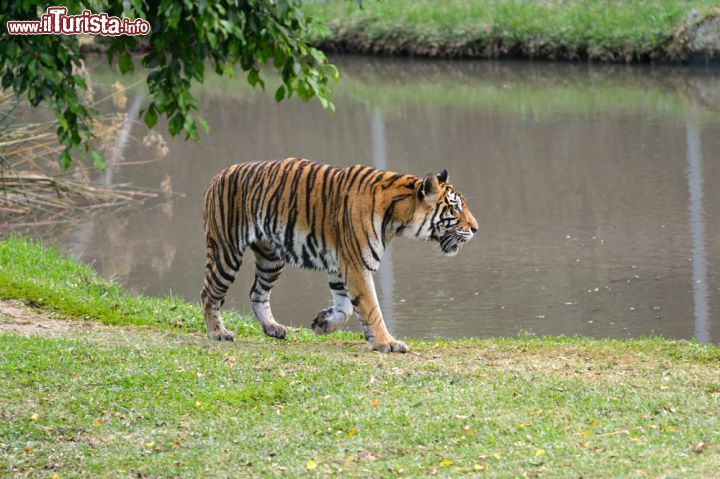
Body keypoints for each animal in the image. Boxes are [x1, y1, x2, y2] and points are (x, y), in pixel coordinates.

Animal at [201, 158, 478, 352]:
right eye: (455, 208)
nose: (476, 228)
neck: (398, 219)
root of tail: (218, 175)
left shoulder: (340, 265)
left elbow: (346, 308)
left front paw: (322, 323)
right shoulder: (356, 264)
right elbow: (371, 308)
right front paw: (387, 343)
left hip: (271, 258)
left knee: (257, 293)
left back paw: (273, 328)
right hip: (226, 251)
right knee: (209, 293)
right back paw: (217, 333)